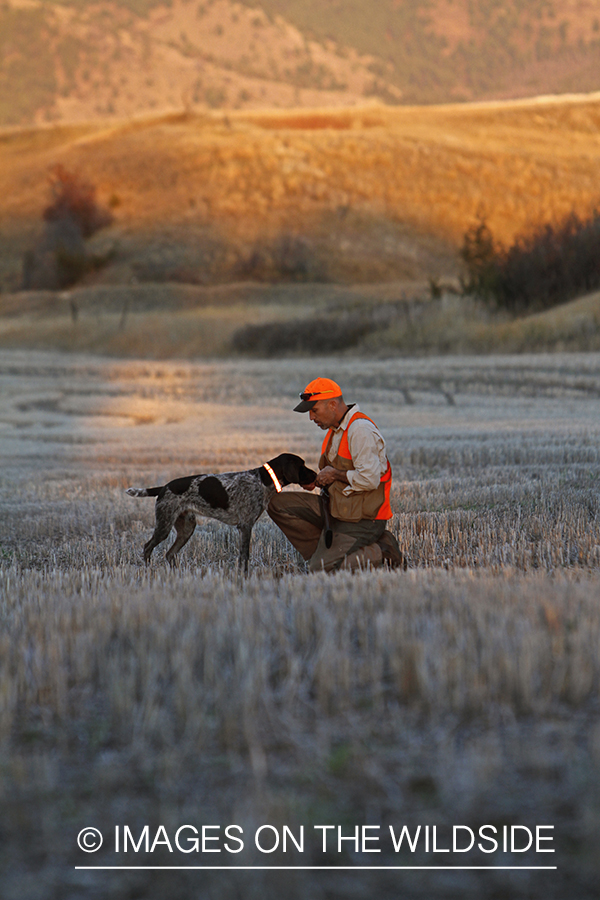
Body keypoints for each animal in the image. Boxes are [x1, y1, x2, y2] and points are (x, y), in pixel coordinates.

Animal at [125, 454, 316, 572]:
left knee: (170, 553)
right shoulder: (245, 525)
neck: (263, 480)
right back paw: (148, 570)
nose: (315, 474)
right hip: (164, 524)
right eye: (302, 465)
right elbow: (244, 555)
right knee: (148, 547)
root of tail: (164, 487)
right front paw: (244, 576)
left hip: (187, 528)